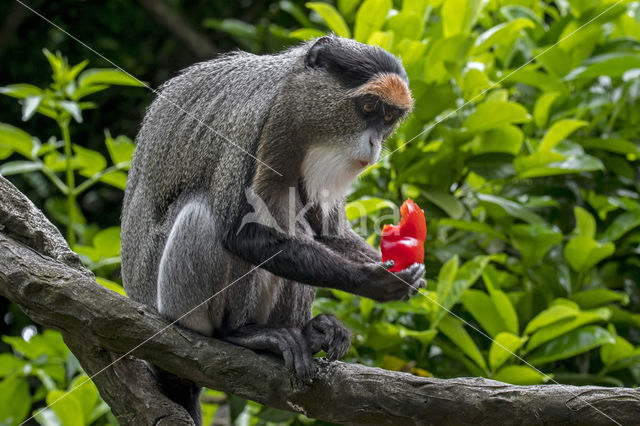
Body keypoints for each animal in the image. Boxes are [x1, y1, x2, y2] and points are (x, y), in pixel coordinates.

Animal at [121, 35, 424, 422]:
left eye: (388, 116)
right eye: (368, 106)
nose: (374, 144)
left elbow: (325, 231)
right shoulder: (266, 121)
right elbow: (239, 233)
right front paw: (371, 280)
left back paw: (307, 333)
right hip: (174, 304)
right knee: (203, 214)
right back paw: (240, 334)